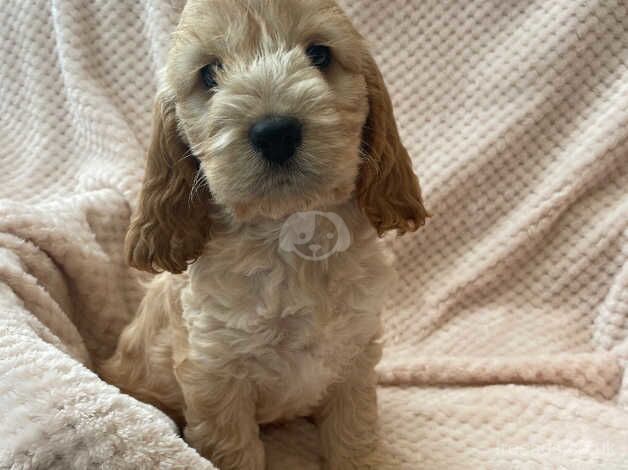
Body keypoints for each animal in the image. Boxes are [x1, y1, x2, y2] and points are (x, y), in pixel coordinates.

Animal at [102, 0, 426, 470]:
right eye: (209, 74)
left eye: (320, 54)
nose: (275, 132)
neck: (289, 231)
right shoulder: (215, 376)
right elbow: (235, 449)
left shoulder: (354, 355)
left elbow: (354, 433)